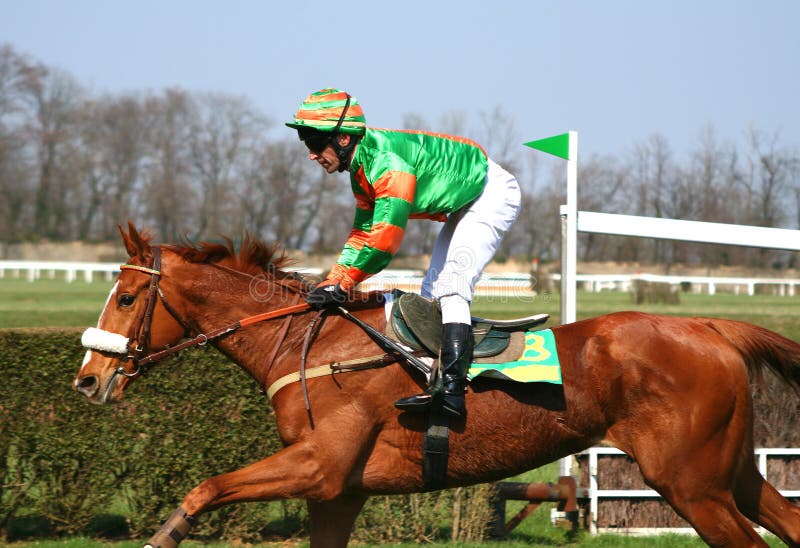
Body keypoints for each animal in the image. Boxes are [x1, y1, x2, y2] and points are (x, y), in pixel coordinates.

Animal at [73, 223, 800, 548]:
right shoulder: (342, 492)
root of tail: (710, 326)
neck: (310, 344)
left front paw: (163, 536)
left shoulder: (320, 466)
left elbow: (206, 487)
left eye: (128, 296)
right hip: (728, 474)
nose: (88, 379)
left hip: (691, 486)